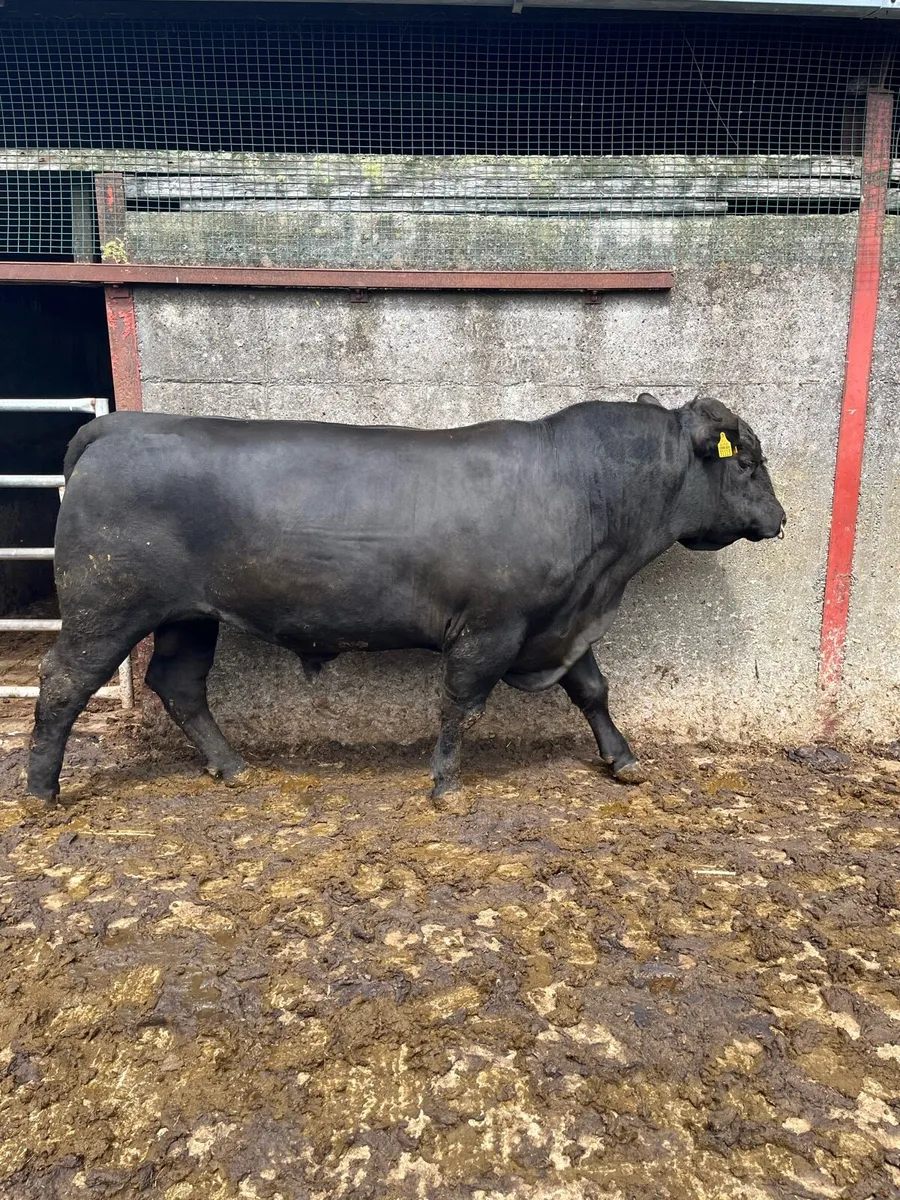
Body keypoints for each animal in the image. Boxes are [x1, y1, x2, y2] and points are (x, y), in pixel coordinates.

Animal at [26, 394, 785, 805]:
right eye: (747, 462)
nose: (779, 519)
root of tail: (117, 426)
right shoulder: (490, 627)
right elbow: (461, 703)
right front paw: (445, 783)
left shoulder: (558, 623)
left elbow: (593, 689)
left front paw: (622, 759)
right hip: (107, 606)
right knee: (61, 684)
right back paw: (42, 790)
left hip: (188, 615)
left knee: (178, 683)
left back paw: (233, 768)